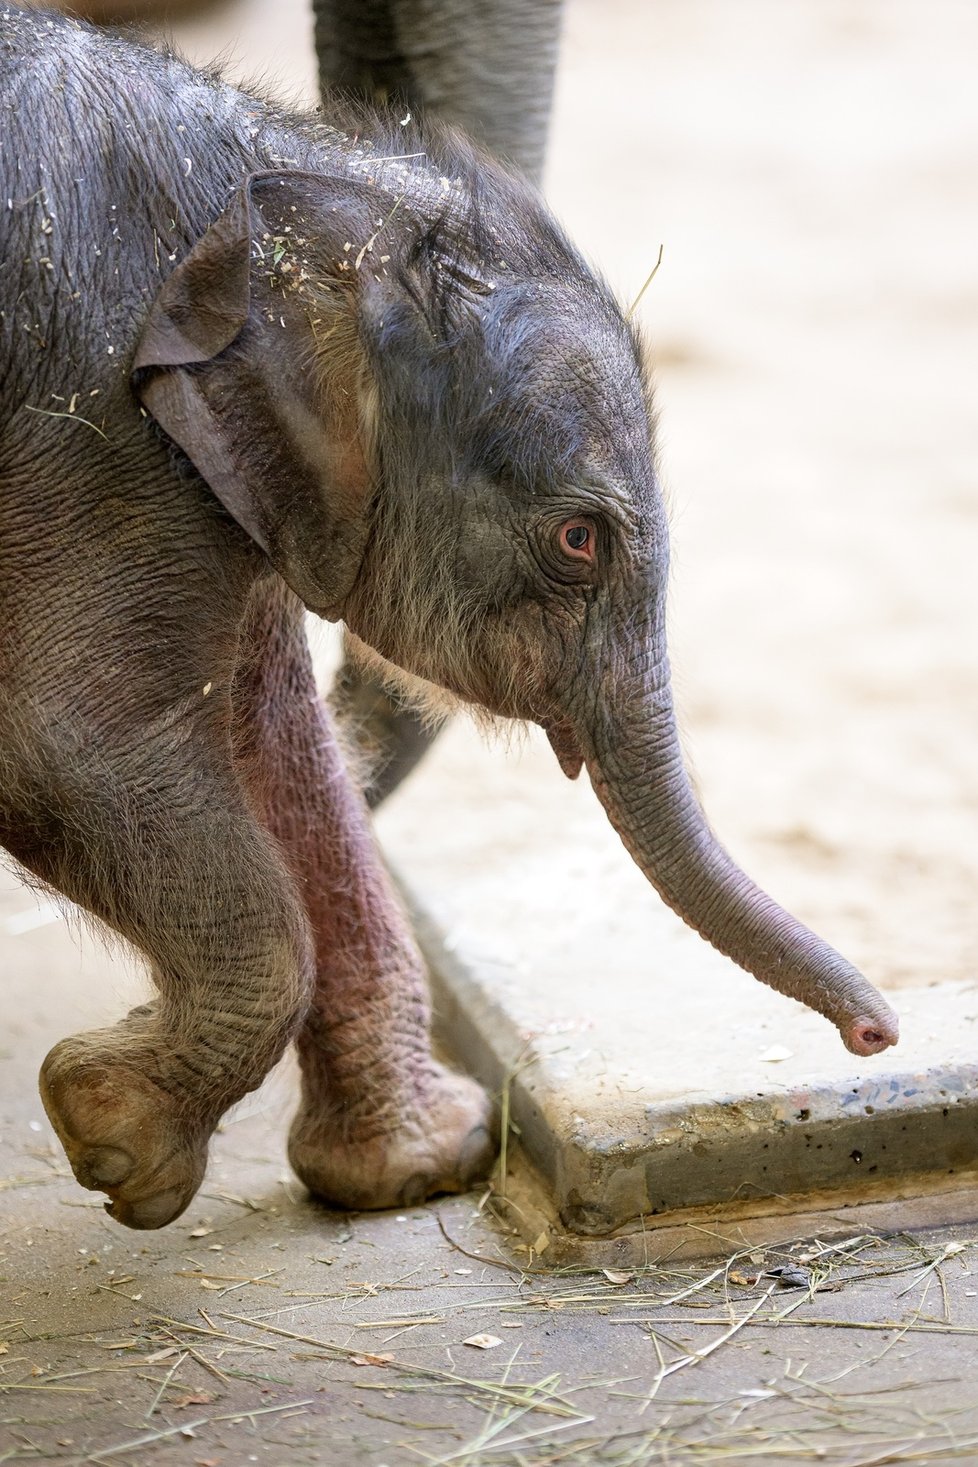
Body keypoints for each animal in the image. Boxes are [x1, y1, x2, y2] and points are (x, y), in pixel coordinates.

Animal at [1, 8, 903, 1226]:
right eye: (579, 541)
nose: (878, 1033)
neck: (284, 191)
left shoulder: (234, 475)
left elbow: (269, 734)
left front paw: (415, 1168)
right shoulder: (88, 433)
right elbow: (66, 747)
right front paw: (114, 1141)